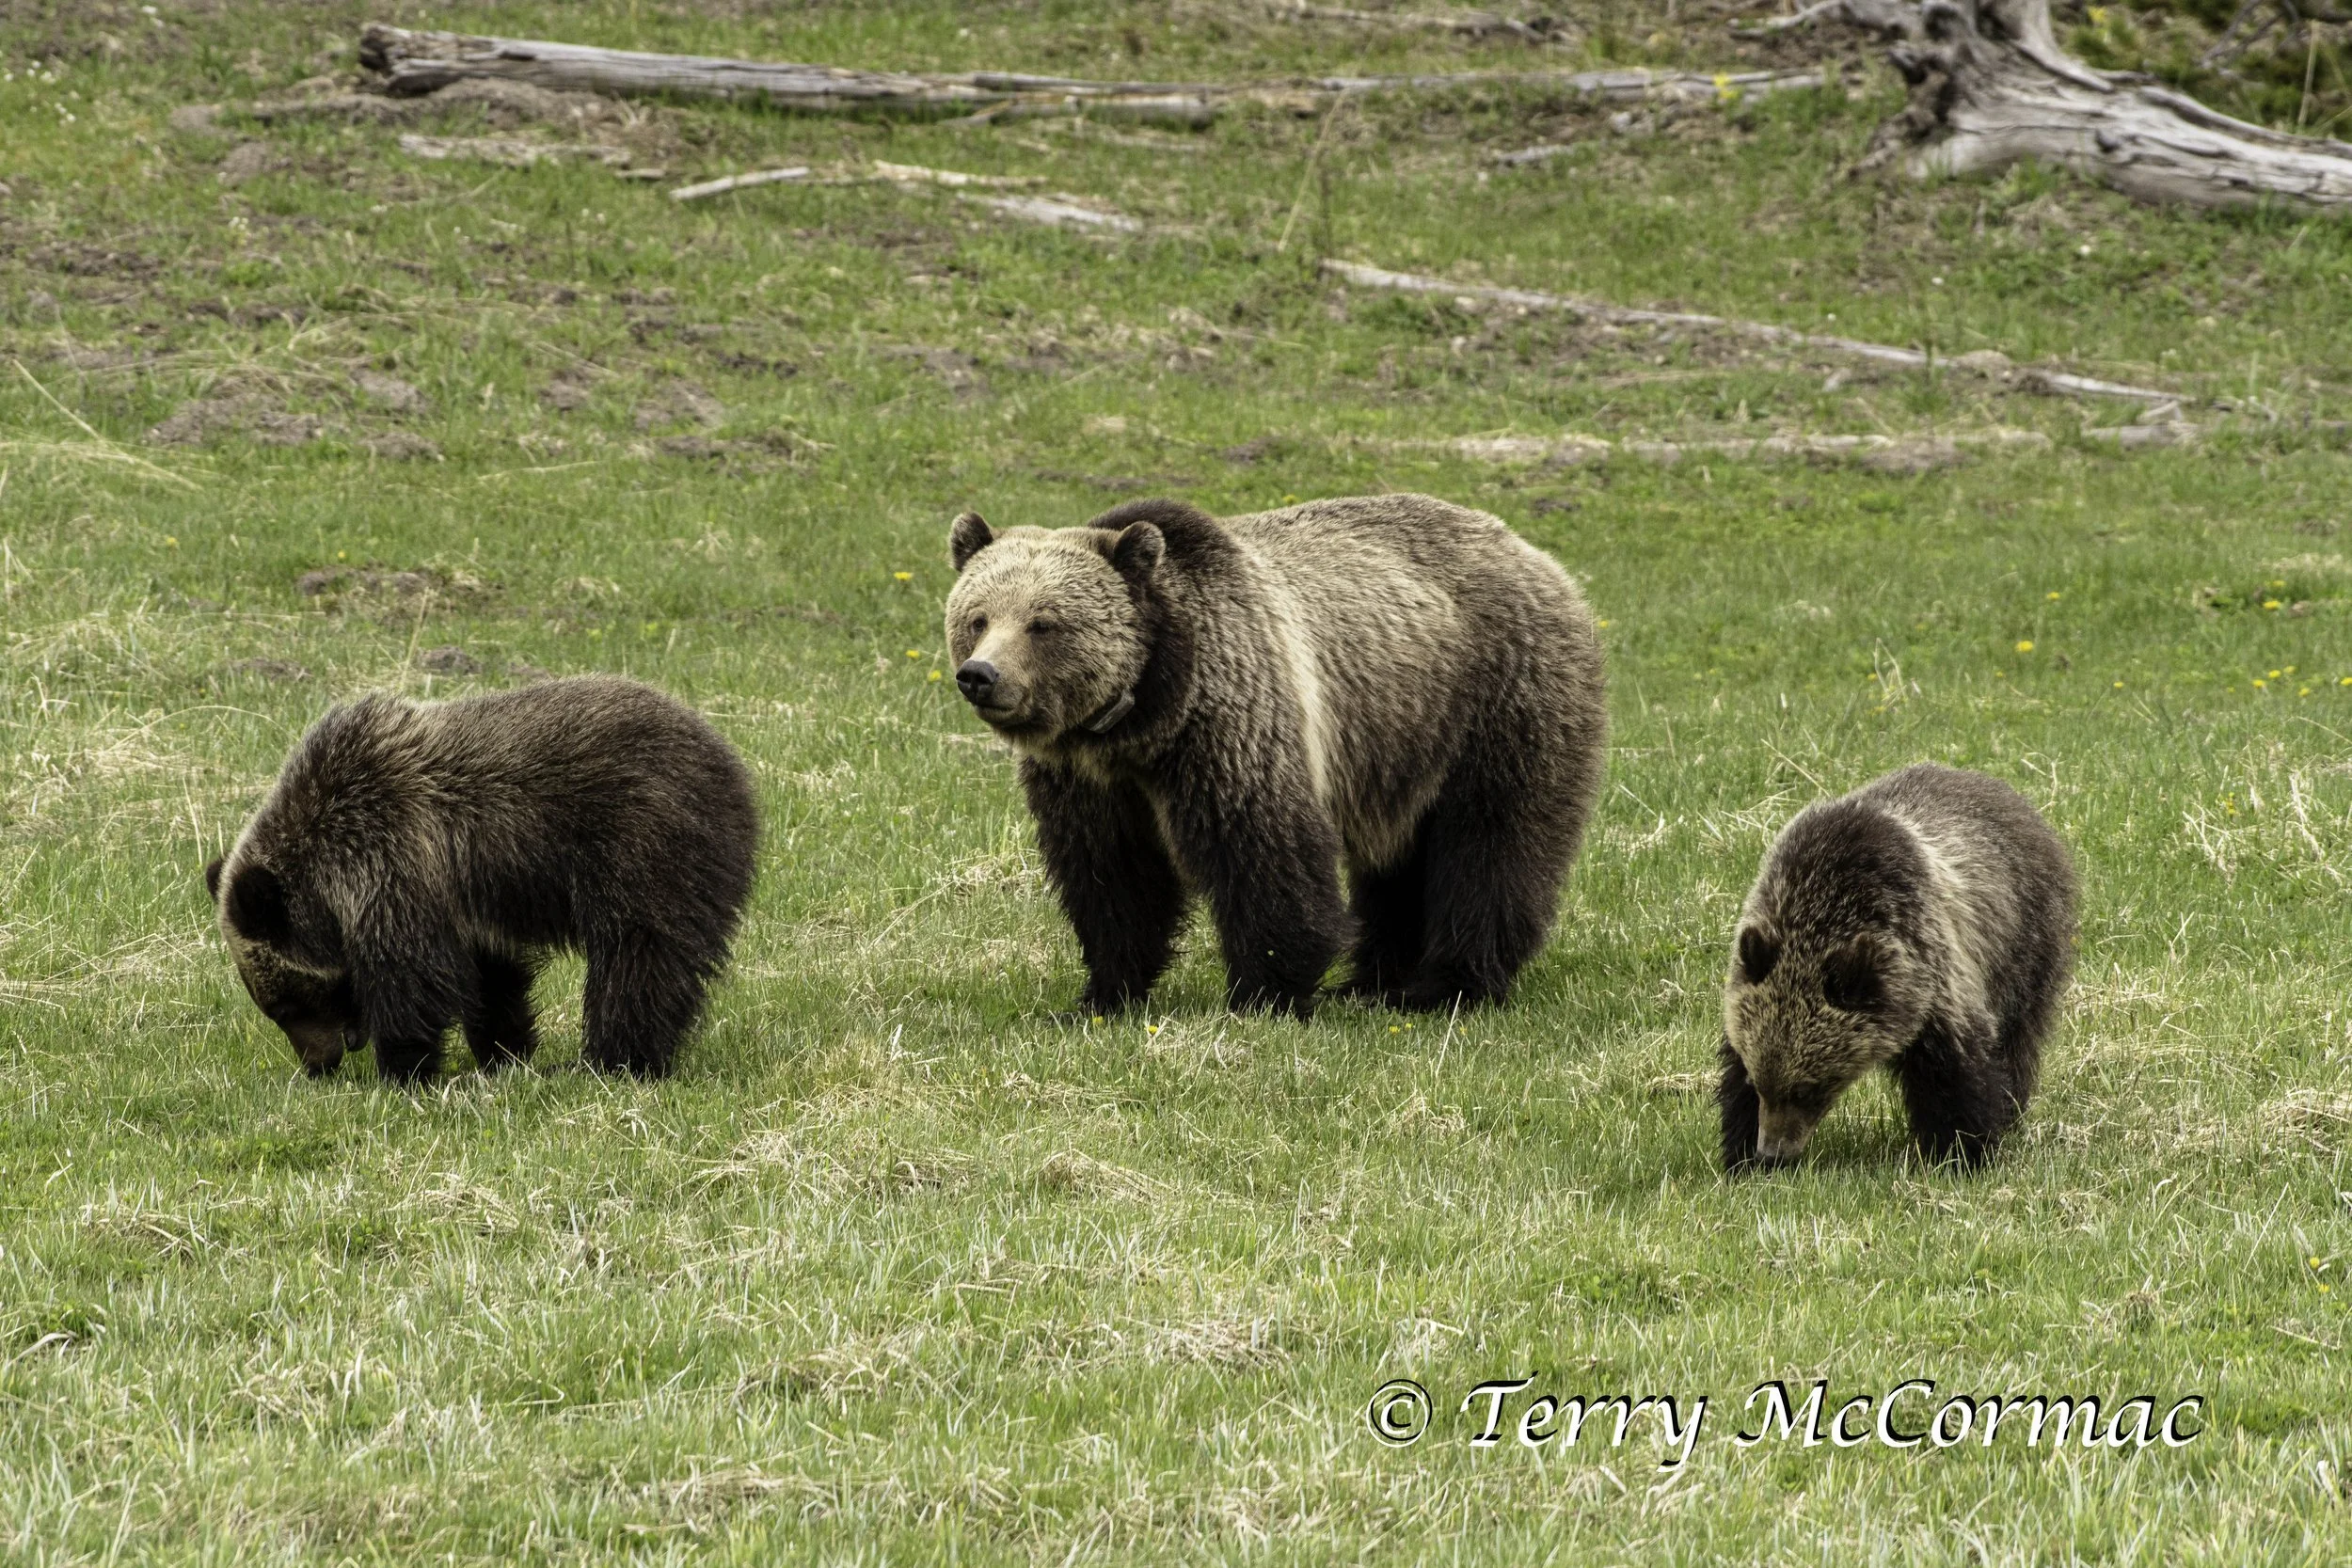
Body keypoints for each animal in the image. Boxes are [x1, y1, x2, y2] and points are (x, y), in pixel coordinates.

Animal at [205, 675, 757, 1084]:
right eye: (273, 1005)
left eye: (287, 1003)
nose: (319, 1064)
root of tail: (731, 765)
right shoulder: (463, 903)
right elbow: (493, 978)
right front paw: (504, 1051)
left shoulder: (394, 860)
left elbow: (413, 979)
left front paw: (404, 1068)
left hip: (641, 847)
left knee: (638, 958)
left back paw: (613, 1060)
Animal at [942, 494, 1607, 1018]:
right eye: (977, 617)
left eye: (1044, 623)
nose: (981, 675)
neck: (1142, 718)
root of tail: (1536, 554)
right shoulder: (1090, 780)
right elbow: (1113, 875)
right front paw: (1102, 995)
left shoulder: (1230, 719)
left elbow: (1261, 847)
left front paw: (1265, 992)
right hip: (1401, 743)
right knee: (1398, 861)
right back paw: (1371, 983)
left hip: (1498, 700)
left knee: (1492, 842)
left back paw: (1447, 986)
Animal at [1718, 763, 2077, 1172]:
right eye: (1758, 1080)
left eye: (1809, 1087)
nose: (1771, 1153)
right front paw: (1739, 1153)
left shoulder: (1932, 969)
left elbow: (1955, 1072)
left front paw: (1962, 1152)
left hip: (2024, 946)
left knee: (2020, 1038)